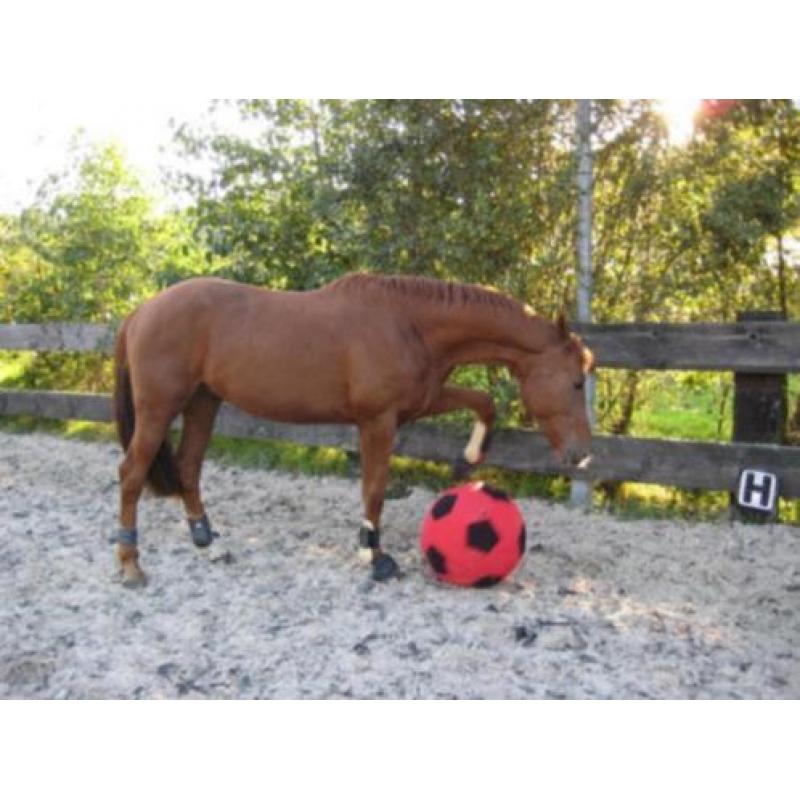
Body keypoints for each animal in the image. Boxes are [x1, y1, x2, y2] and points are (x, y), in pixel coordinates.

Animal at [112, 272, 594, 586]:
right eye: (576, 381)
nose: (583, 454)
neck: (408, 322)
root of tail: (141, 311)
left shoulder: (418, 402)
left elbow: (484, 402)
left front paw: (469, 459)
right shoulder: (378, 419)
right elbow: (374, 488)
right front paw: (375, 555)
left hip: (203, 402)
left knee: (189, 467)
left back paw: (206, 541)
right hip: (160, 407)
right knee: (132, 474)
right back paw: (131, 564)